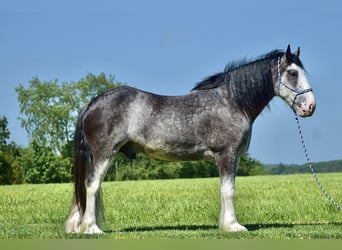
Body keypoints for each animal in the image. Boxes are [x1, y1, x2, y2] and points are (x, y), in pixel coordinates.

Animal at [64, 45, 316, 234]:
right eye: (293, 73)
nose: (310, 107)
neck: (232, 101)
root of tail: (92, 103)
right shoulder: (226, 154)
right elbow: (229, 191)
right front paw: (234, 226)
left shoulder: (232, 158)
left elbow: (224, 190)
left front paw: (225, 224)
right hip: (104, 154)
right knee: (92, 185)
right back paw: (92, 228)